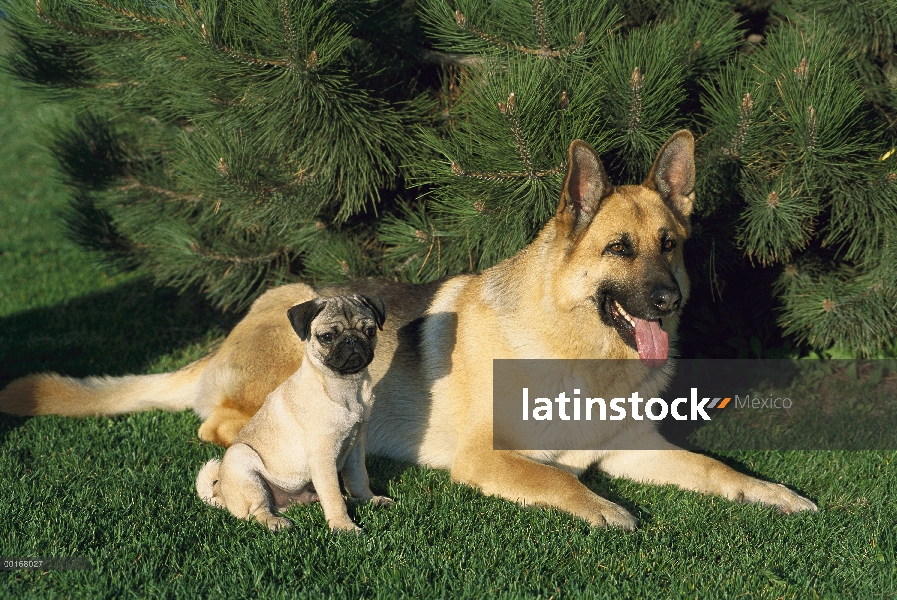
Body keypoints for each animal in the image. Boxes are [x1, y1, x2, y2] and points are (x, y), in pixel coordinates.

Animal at [196, 292, 392, 532]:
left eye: (370, 331)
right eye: (327, 337)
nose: (352, 340)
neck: (345, 386)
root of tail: (220, 493)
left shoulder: (355, 448)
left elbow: (358, 479)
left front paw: (368, 499)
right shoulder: (322, 455)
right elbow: (333, 495)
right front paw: (343, 526)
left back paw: (350, 500)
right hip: (241, 461)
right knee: (257, 512)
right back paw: (275, 522)